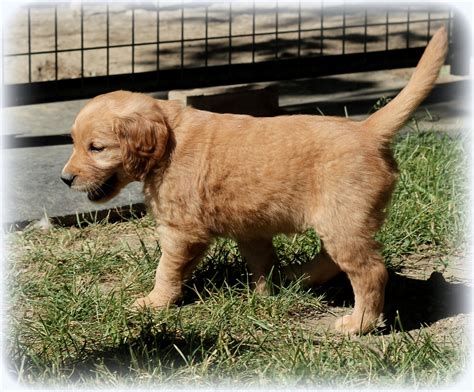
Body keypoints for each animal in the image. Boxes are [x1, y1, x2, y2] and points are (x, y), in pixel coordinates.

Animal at [63, 28, 448, 334]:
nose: (65, 178)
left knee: (370, 271)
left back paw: (359, 324)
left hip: (344, 219)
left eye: (96, 148)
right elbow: (263, 262)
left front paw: (153, 303)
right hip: (339, 220)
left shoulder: (181, 231)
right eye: (74, 142)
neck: (169, 141)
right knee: (332, 259)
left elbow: (166, 269)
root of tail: (367, 129)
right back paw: (298, 276)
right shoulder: (249, 228)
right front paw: (266, 295)